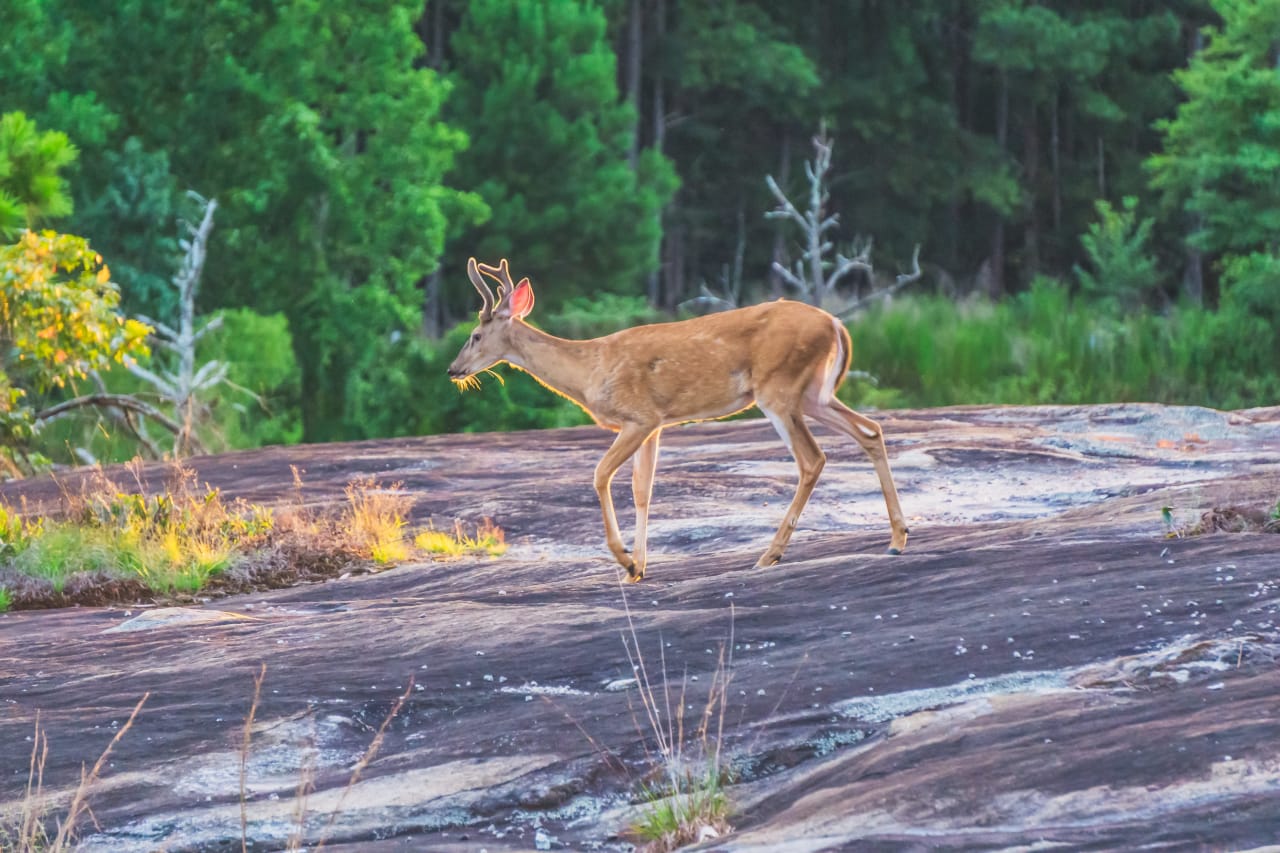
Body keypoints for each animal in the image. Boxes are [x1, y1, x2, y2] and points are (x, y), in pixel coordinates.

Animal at [450, 256, 911, 581]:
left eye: (475, 335)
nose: (454, 369)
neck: (588, 370)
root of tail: (836, 323)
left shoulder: (638, 416)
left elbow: (600, 475)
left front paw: (625, 560)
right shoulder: (655, 424)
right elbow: (643, 490)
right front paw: (638, 568)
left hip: (778, 389)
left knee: (812, 459)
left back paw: (770, 555)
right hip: (814, 393)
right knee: (871, 430)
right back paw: (896, 539)